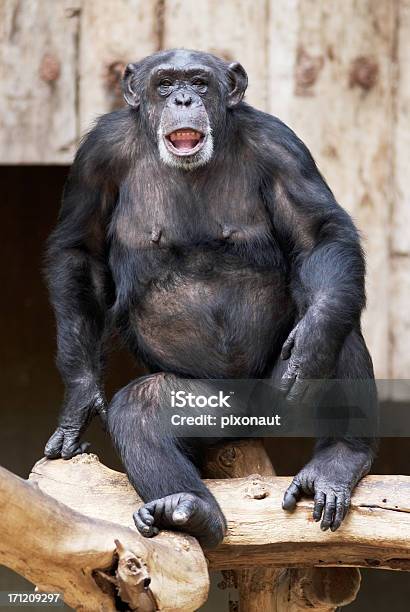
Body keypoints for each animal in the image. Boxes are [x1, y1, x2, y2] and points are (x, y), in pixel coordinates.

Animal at [44, 46, 374, 544]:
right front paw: (79, 400)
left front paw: (313, 343)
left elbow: (318, 234)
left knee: (341, 323)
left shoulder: (282, 148)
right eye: (164, 84)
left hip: (275, 396)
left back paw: (338, 460)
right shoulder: (96, 155)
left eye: (199, 82)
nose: (182, 99)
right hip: (214, 410)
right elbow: (80, 253)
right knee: (142, 411)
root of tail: (250, 422)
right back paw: (189, 509)